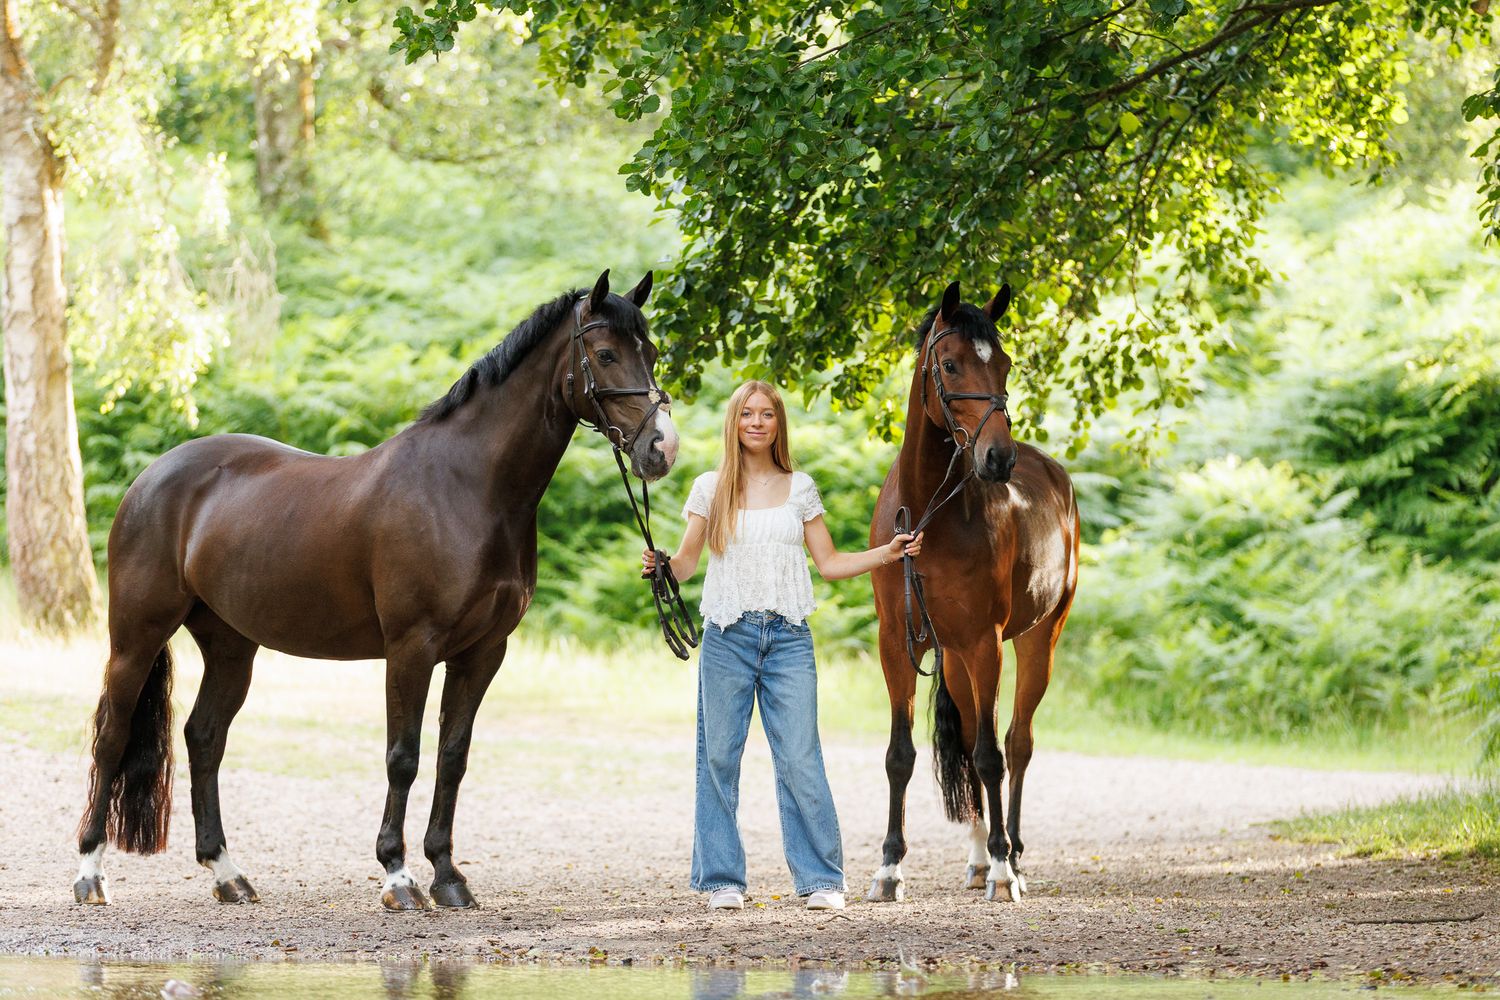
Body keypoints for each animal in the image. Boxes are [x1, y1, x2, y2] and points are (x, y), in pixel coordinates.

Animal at [73, 270, 680, 912]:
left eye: (651, 352)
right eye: (606, 354)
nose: (661, 447)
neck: (466, 487)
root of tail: (151, 478)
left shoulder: (483, 653)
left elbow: (452, 758)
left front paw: (448, 876)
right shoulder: (412, 648)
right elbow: (403, 757)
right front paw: (398, 875)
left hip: (231, 647)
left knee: (204, 736)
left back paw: (226, 873)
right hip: (136, 636)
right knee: (112, 734)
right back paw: (90, 872)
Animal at [866, 279, 1080, 904]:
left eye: (1004, 362)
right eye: (950, 363)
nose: (997, 457)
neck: (929, 517)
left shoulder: (986, 643)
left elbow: (990, 756)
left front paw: (1007, 870)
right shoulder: (899, 646)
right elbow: (901, 755)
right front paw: (890, 866)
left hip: (1035, 642)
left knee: (1016, 742)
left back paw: (1012, 855)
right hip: (957, 660)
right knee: (967, 734)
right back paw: (982, 856)